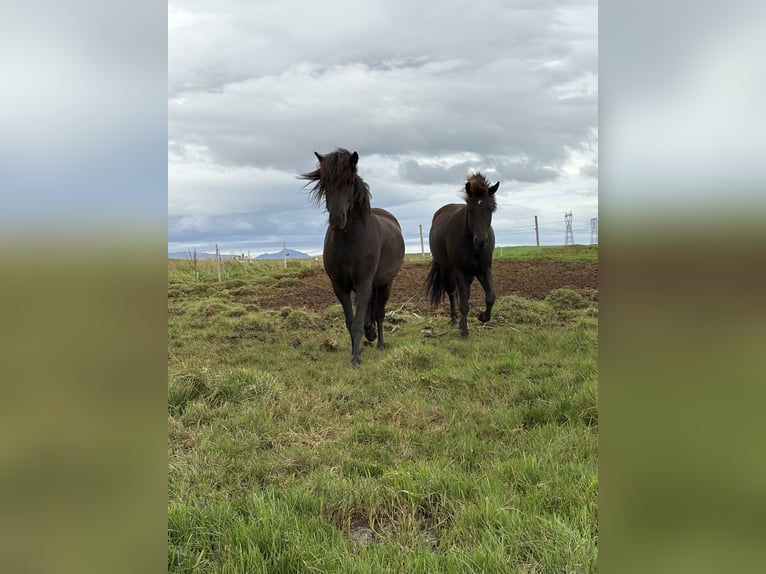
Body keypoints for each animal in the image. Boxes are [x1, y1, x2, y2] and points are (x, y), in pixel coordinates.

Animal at [300, 148, 405, 366]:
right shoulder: (340, 287)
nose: (337, 220)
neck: (349, 242)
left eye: (349, 182)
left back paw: (380, 342)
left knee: (379, 312)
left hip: (386, 284)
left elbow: (358, 322)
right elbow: (351, 322)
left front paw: (356, 358)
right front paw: (355, 351)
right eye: (325, 183)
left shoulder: (364, 284)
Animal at [425, 172, 500, 338]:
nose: (481, 241)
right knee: (452, 292)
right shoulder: (459, 271)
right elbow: (464, 303)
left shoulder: (484, 270)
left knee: (467, 292)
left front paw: (482, 317)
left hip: (470, 274)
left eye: (490, 209)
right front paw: (464, 331)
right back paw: (454, 319)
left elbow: (490, 296)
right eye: (470, 209)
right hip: (447, 269)